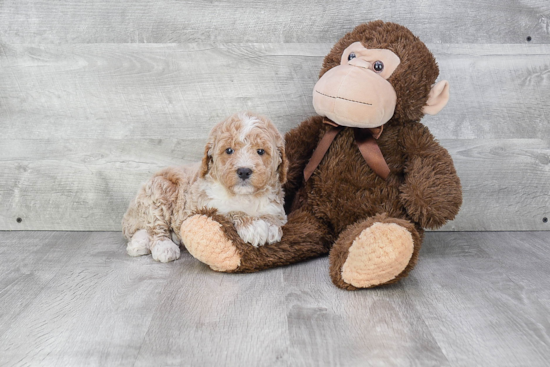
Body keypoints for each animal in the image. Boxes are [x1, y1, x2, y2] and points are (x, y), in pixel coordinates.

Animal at [121, 112, 288, 262]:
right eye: (229, 150)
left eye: (260, 151)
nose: (244, 171)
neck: (244, 195)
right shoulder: (202, 205)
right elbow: (228, 212)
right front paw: (253, 226)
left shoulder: (276, 207)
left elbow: (274, 217)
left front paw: (271, 227)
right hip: (159, 189)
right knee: (155, 226)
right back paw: (163, 247)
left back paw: (139, 243)